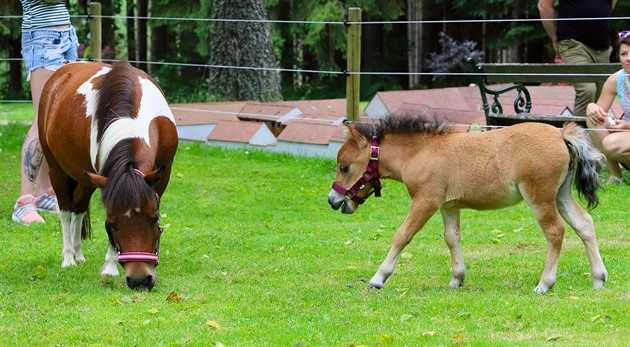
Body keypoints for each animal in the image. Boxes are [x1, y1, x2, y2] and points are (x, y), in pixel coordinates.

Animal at [38, 60, 179, 290]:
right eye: (112, 223)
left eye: (155, 218)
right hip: (56, 169)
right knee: (66, 211)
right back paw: (68, 257)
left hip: (86, 179)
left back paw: (78, 253)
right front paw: (110, 267)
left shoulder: (161, 176)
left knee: (78, 207)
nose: (140, 280)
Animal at [330, 115, 612, 294]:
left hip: (539, 196)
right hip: (561, 195)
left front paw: (378, 278)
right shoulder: (448, 206)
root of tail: (560, 133)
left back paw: (544, 284)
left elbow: (403, 235)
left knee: (555, 231)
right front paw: (457, 279)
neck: (419, 152)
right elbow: (452, 238)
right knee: (584, 224)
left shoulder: (426, 200)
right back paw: (599, 279)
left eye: (344, 167)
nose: (333, 201)